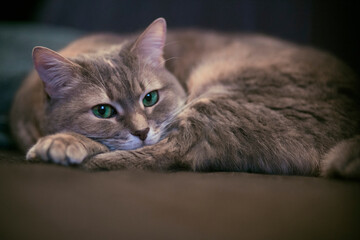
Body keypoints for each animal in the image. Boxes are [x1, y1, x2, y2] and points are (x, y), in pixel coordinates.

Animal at [10, 17, 360, 178]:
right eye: (103, 111)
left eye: (150, 98)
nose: (142, 131)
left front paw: (63, 143)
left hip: (221, 99)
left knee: (172, 152)